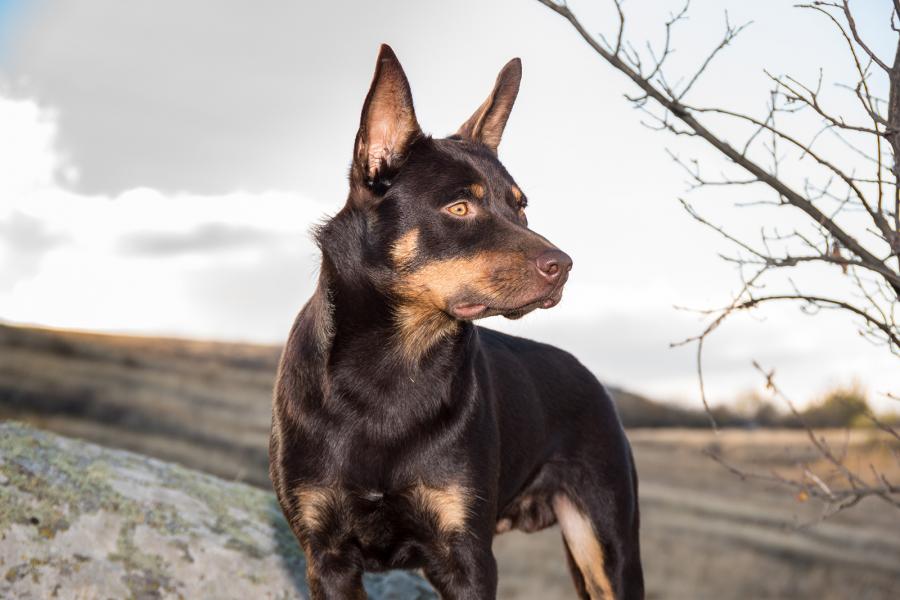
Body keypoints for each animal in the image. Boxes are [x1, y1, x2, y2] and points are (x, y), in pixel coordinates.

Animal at [270, 44, 644, 596]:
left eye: (520, 207)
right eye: (460, 207)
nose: (564, 266)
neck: (392, 369)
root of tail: (590, 376)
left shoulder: (466, 557)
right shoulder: (327, 556)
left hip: (607, 545)